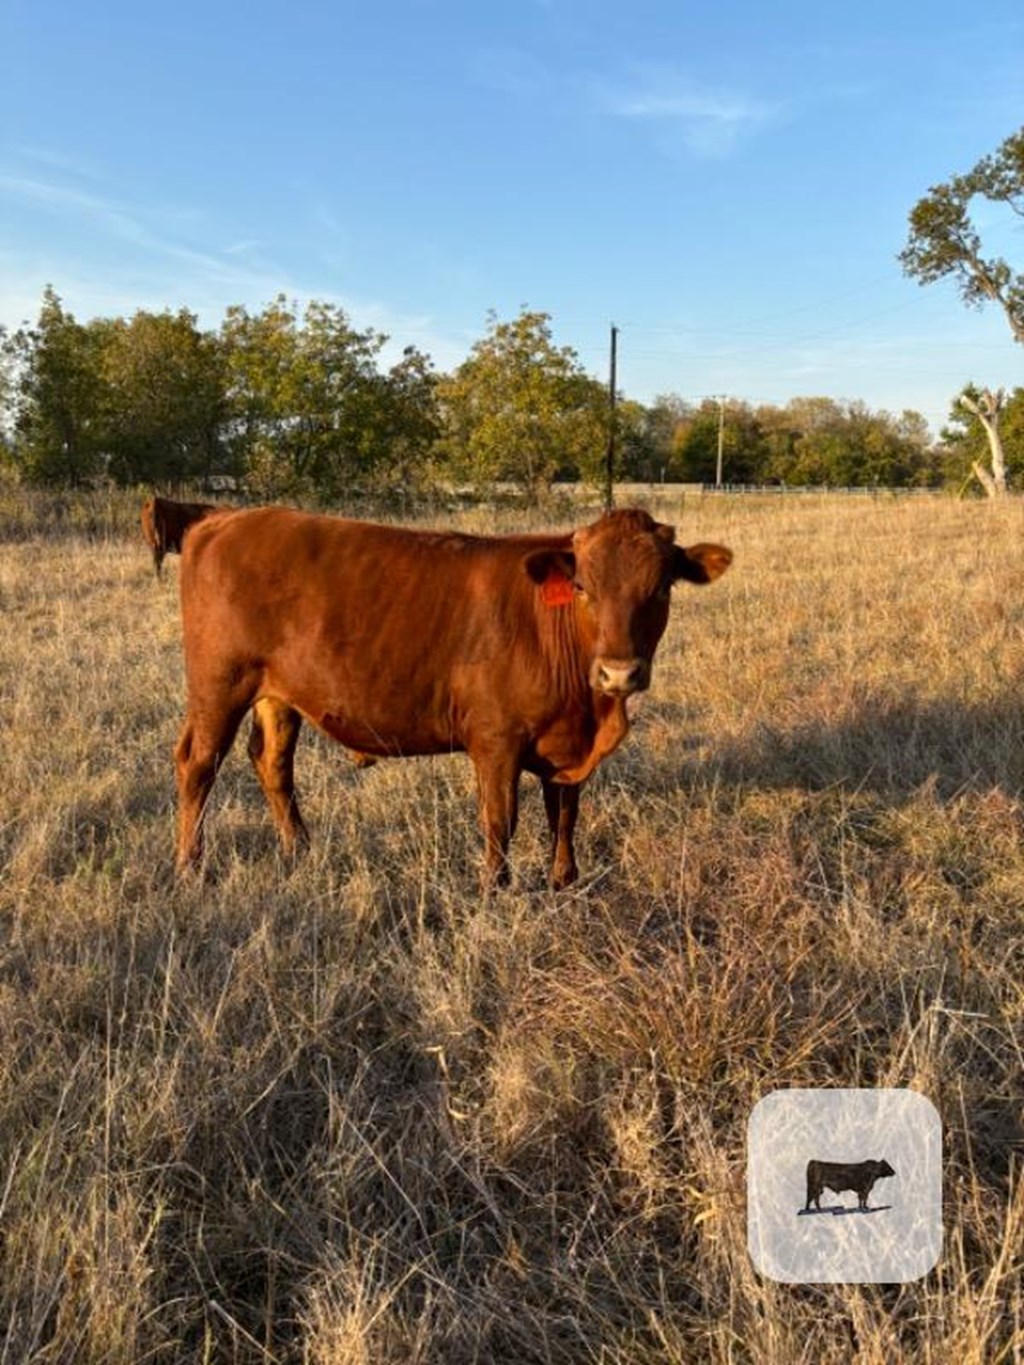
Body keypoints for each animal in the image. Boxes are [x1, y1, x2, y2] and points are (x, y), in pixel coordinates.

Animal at [176, 510, 731, 884]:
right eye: (581, 586)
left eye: (662, 588)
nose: (619, 673)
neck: (591, 708)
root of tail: (222, 519)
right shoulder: (496, 741)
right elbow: (500, 821)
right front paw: (495, 889)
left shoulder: (567, 747)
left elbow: (564, 814)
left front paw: (564, 881)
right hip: (219, 686)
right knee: (198, 765)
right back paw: (191, 866)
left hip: (278, 695)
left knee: (273, 763)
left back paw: (300, 850)